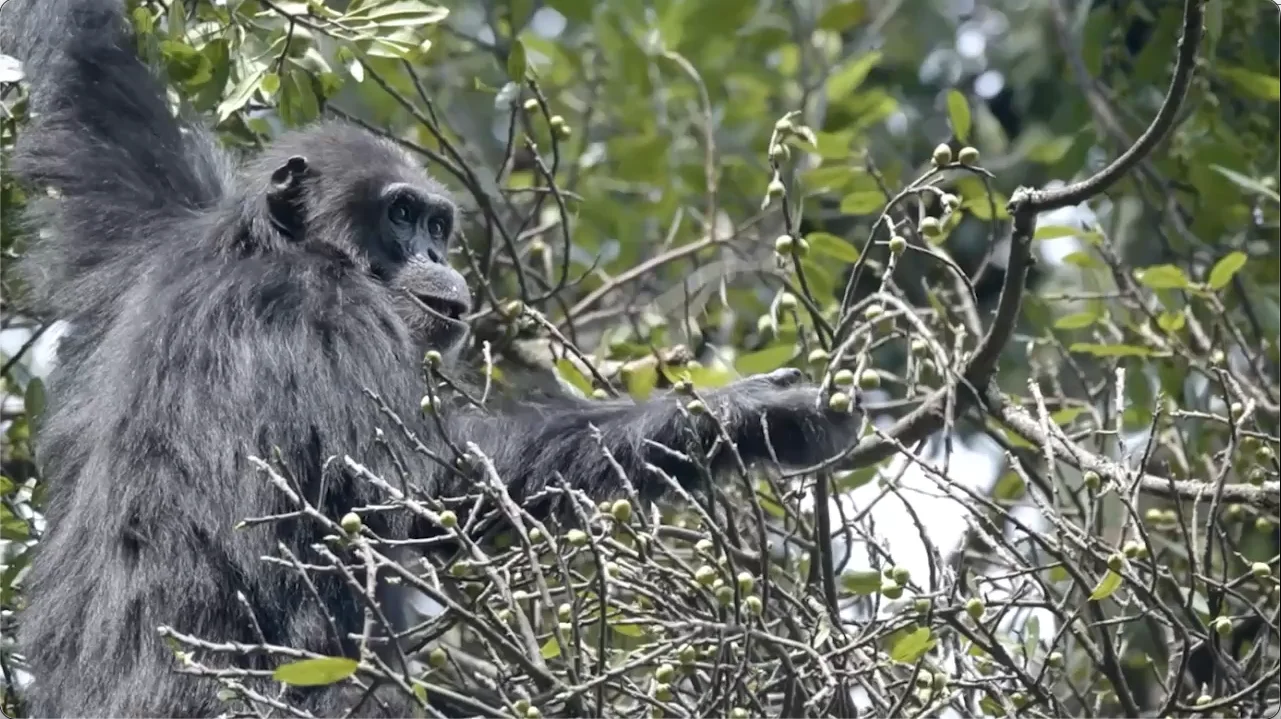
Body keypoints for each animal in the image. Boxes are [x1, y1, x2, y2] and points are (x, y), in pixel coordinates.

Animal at [0, 0, 858, 716]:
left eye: (437, 223)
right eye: (402, 214)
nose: (438, 255)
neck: (280, 247)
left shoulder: (145, 232)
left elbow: (91, 79)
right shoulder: (332, 313)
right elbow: (418, 486)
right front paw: (755, 412)